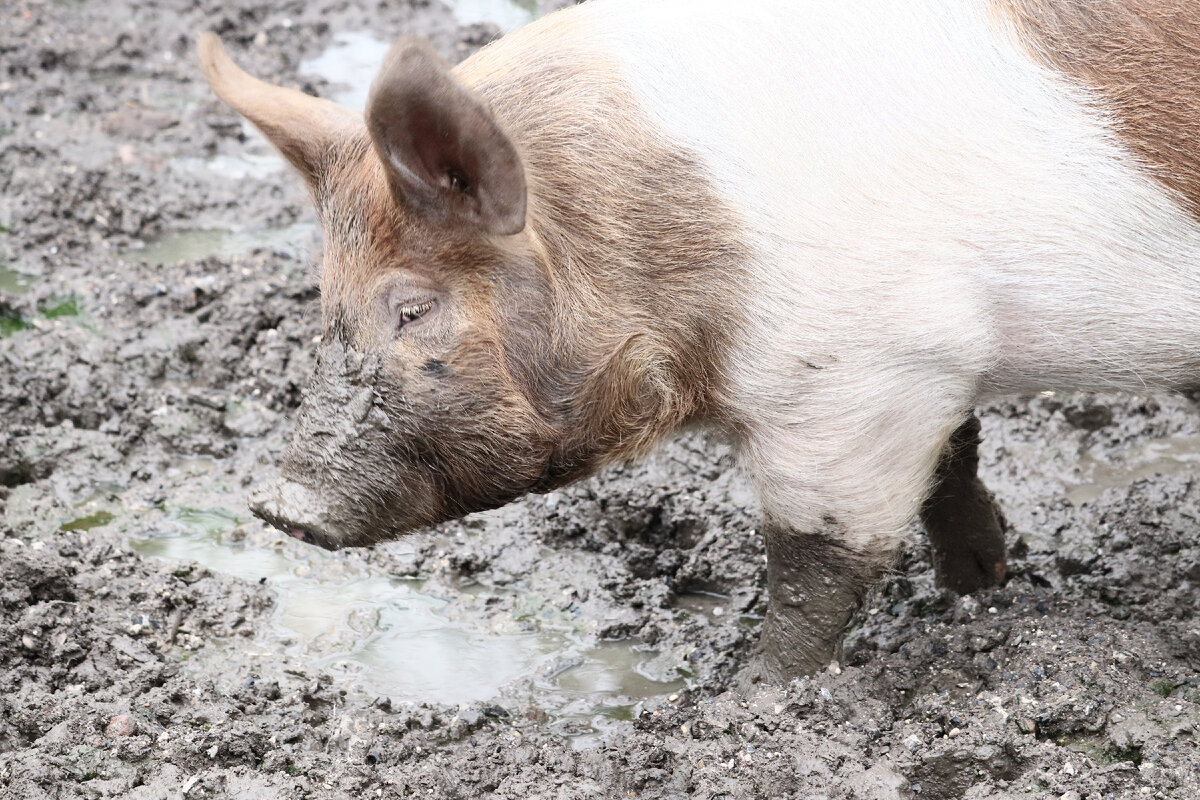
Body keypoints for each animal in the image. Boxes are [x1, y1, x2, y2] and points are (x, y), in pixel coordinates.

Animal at [199, 0, 1200, 682]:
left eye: (412, 308)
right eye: (325, 301)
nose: (279, 506)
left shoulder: (856, 377)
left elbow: (816, 567)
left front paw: (750, 695)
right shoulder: (936, 364)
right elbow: (953, 470)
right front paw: (979, 587)